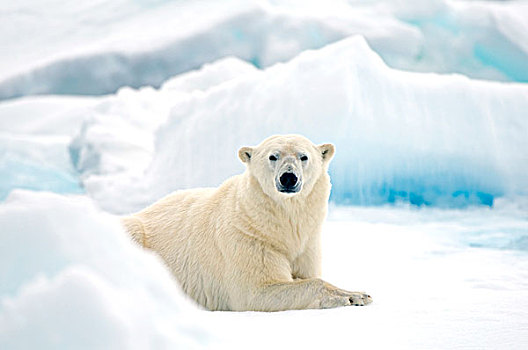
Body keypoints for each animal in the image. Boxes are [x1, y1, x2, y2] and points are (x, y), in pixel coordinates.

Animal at [122, 135, 374, 312]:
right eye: (273, 156)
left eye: (304, 157)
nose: (288, 178)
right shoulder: (248, 239)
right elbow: (257, 289)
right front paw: (354, 296)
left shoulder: (307, 244)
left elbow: (306, 272)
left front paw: (359, 293)